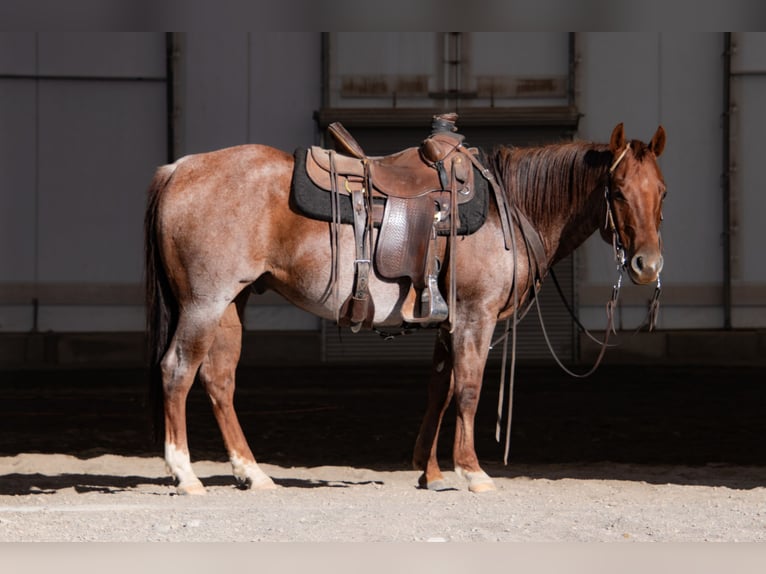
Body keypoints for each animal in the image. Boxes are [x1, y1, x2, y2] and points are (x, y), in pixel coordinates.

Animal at [144, 121, 667, 494]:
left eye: (662, 192)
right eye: (618, 191)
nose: (648, 264)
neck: (506, 210)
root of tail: (178, 169)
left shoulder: (448, 322)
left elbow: (440, 389)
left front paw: (430, 471)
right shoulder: (474, 317)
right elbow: (469, 390)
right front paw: (472, 472)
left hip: (233, 302)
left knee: (219, 379)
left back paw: (252, 473)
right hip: (204, 303)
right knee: (177, 371)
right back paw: (185, 474)